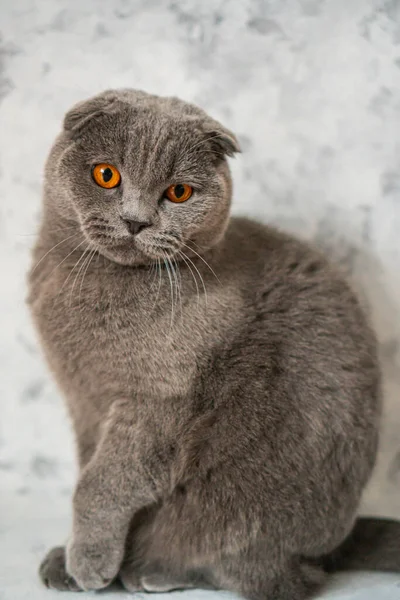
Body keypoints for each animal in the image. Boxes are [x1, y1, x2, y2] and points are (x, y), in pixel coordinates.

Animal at [28, 90, 400, 600]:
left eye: (178, 193)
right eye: (106, 174)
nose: (135, 221)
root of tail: (331, 549)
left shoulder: (159, 397)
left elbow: (102, 482)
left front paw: (89, 562)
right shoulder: (84, 402)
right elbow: (87, 468)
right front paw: (74, 558)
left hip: (244, 500)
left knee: (254, 568)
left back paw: (151, 571)